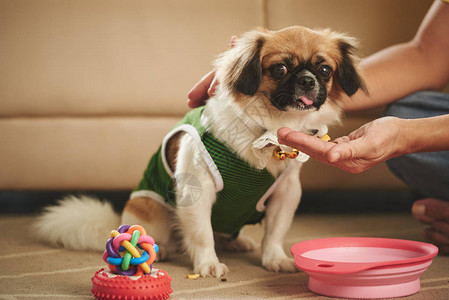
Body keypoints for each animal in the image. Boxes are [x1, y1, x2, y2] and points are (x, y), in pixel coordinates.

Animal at [34, 26, 364, 278]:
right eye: (280, 68)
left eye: (325, 70)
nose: (307, 80)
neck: (269, 130)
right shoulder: (197, 191)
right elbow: (202, 234)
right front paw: (209, 265)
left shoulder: (286, 193)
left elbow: (275, 233)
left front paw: (275, 259)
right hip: (149, 209)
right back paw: (162, 249)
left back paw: (237, 242)